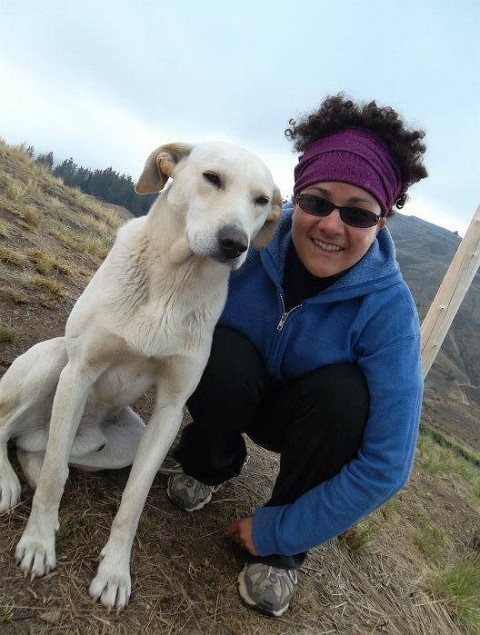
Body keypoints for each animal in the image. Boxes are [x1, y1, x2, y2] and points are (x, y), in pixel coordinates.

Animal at [0, 140, 281, 611]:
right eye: (212, 178)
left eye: (261, 201)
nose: (234, 242)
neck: (173, 281)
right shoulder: (78, 372)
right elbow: (56, 475)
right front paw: (38, 543)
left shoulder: (169, 410)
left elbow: (133, 500)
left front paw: (114, 572)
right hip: (54, 361)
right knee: (14, 433)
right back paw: (8, 485)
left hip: (118, 444)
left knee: (33, 449)